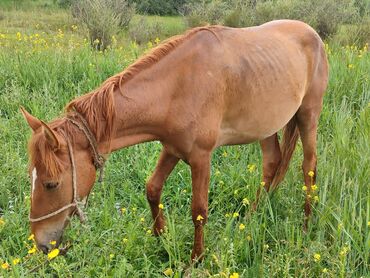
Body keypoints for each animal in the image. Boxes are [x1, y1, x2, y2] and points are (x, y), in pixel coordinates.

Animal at [21, 20, 326, 260]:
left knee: (309, 167)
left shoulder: (201, 157)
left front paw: (196, 259)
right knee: (272, 163)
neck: (177, 87)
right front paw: (161, 237)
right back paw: (253, 216)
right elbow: (152, 189)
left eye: (50, 184)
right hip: (266, 126)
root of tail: (312, 33)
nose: (41, 243)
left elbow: (198, 211)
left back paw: (306, 225)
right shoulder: (171, 149)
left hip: (308, 115)